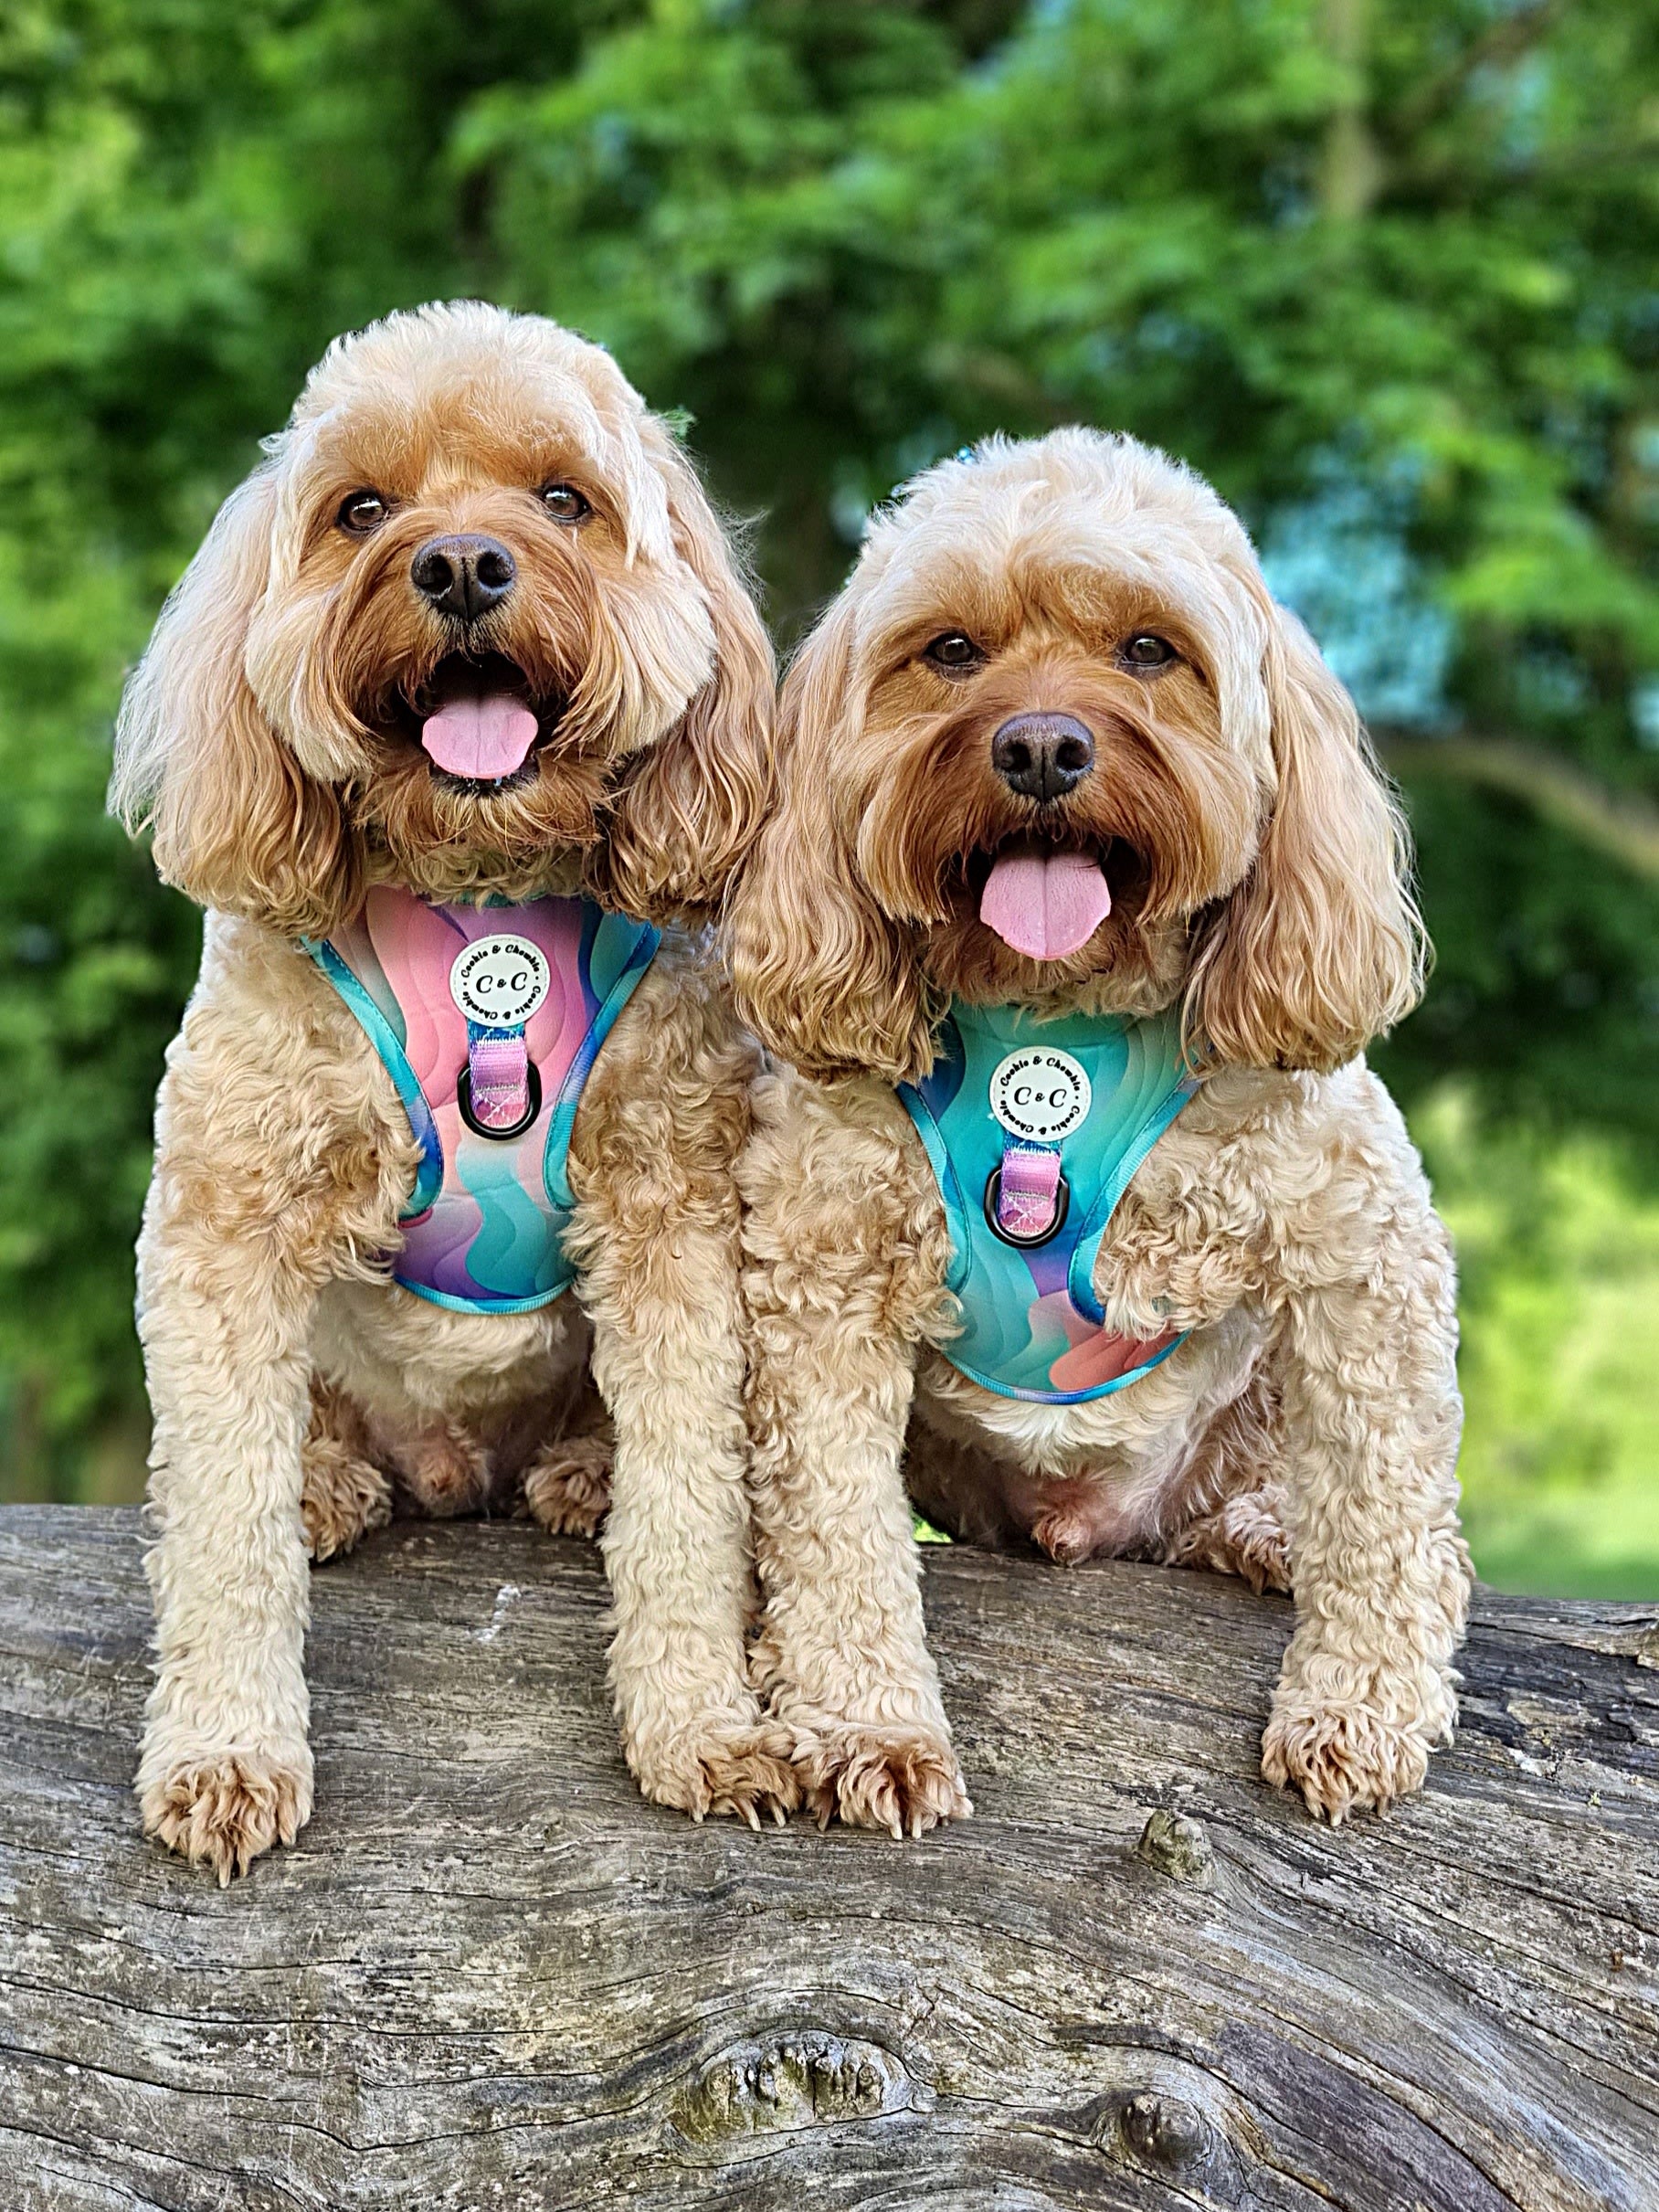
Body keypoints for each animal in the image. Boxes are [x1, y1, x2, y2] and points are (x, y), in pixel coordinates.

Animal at [111, 301, 795, 1880]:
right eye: (362, 509)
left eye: (563, 498)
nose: (465, 565)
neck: (476, 879)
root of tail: (447, 1466)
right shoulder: (225, 1219)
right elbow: (221, 1531)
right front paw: (225, 1752)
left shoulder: (673, 1218)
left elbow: (691, 1503)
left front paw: (700, 1726)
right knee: (261, 1453)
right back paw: (326, 1477)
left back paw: (584, 1470)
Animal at [728, 429, 1470, 1837]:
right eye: (951, 650)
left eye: (1147, 648)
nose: (1039, 748)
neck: (1055, 1017)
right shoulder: (821, 1270)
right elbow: (839, 1536)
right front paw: (869, 1726)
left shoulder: (1361, 1246)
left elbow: (1382, 1503)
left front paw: (1356, 1709)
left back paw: (1265, 1530)